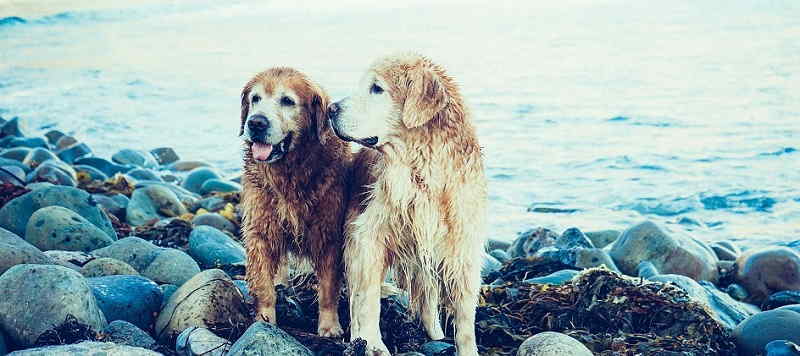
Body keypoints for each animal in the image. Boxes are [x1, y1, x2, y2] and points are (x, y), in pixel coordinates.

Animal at [326, 53, 488, 356]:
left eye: (377, 88)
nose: (330, 108)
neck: (422, 169)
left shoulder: (461, 246)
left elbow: (464, 314)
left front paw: (467, 349)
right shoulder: (368, 237)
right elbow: (368, 300)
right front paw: (373, 343)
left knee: (427, 295)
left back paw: (434, 333)